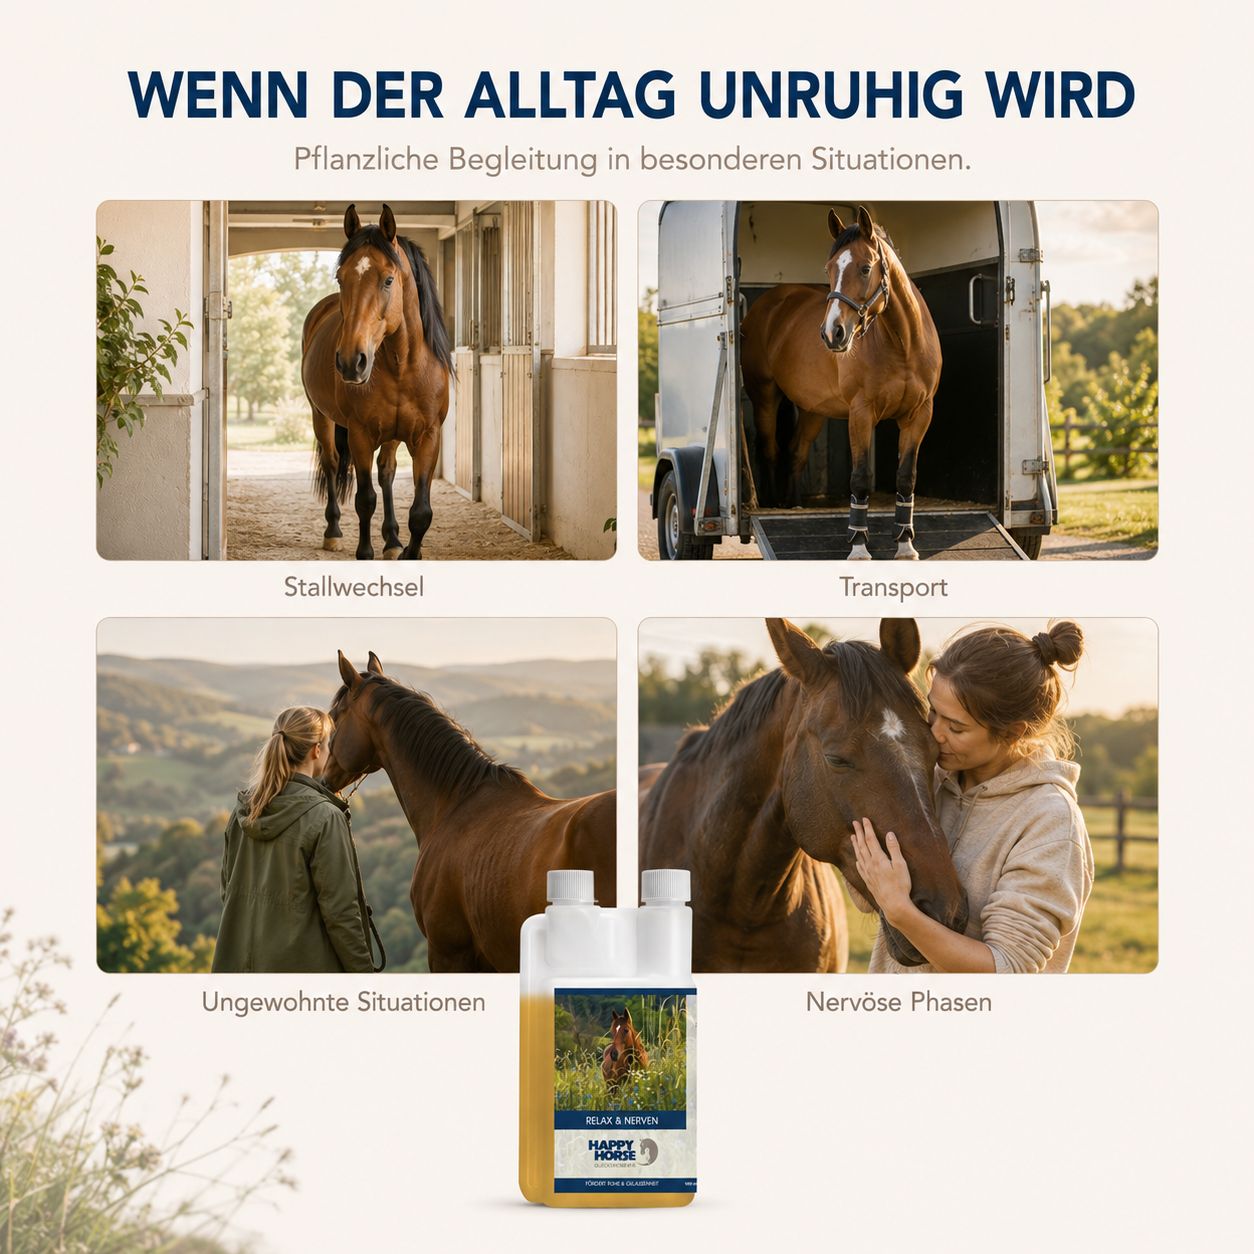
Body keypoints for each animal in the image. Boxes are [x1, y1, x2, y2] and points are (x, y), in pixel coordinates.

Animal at [301, 204, 453, 560]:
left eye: (388, 279)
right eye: (341, 277)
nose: (350, 361)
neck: (403, 366)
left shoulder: (428, 437)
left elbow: (421, 511)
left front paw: (408, 549)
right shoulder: (360, 434)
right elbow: (364, 499)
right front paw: (364, 551)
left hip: (393, 435)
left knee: (386, 471)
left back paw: (392, 539)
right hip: (321, 416)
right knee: (332, 464)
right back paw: (333, 531)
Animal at [740, 206, 942, 560]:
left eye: (865, 268)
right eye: (830, 268)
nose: (832, 333)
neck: (904, 345)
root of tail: (770, 303)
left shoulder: (919, 416)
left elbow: (906, 478)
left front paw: (905, 545)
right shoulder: (861, 414)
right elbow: (859, 479)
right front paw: (858, 547)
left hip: (813, 409)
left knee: (795, 451)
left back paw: (794, 504)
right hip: (765, 396)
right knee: (769, 449)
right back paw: (772, 502)